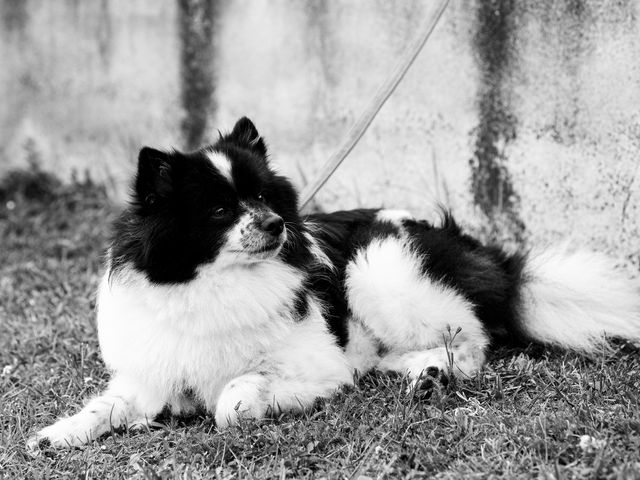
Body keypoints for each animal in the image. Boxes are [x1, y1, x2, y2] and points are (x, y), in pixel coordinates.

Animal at [26, 117, 640, 450]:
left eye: (264, 198)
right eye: (220, 210)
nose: (275, 224)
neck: (216, 285)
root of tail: (483, 253)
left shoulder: (318, 366)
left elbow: (234, 398)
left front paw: (249, 403)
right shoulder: (150, 373)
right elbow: (106, 406)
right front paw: (58, 434)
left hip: (380, 265)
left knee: (472, 341)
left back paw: (436, 373)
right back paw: (418, 374)